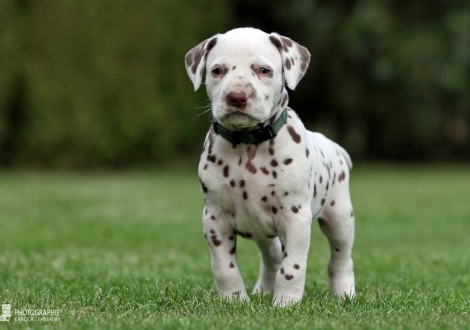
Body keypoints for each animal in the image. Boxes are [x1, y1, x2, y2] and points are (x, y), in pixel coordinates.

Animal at [185, 27, 354, 306]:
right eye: (217, 70)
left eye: (264, 70)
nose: (237, 96)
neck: (248, 145)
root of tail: (334, 146)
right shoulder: (214, 218)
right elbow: (224, 267)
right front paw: (234, 300)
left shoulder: (296, 218)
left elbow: (292, 266)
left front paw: (286, 302)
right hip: (262, 230)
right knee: (271, 257)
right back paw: (263, 290)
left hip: (339, 217)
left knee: (340, 259)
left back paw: (344, 293)